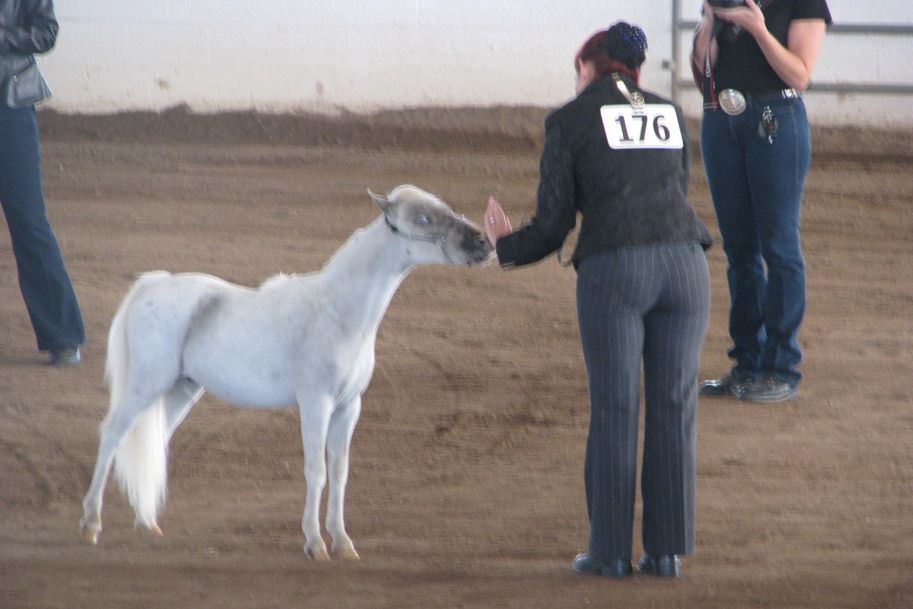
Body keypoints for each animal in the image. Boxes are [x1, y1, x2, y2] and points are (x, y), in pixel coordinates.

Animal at [78, 185, 492, 560]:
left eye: (444, 208)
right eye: (422, 219)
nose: (484, 241)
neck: (337, 313)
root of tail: (155, 283)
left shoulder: (349, 407)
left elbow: (339, 471)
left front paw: (343, 543)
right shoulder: (316, 404)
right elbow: (316, 470)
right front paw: (315, 543)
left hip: (182, 389)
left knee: (154, 440)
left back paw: (147, 523)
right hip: (146, 384)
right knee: (112, 433)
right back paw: (92, 524)